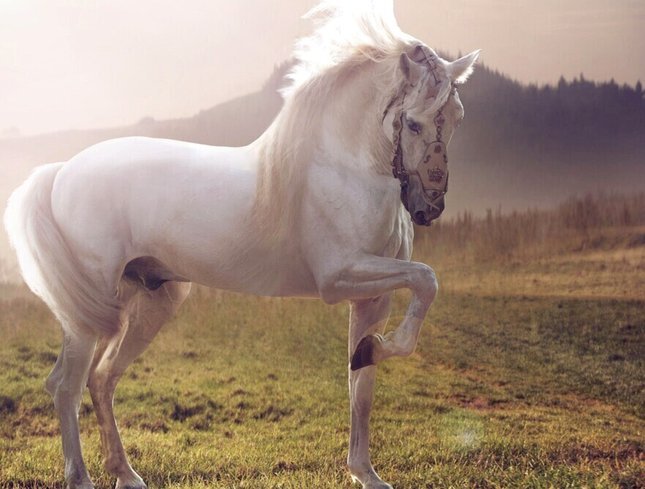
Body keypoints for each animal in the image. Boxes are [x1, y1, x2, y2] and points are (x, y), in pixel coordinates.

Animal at [4, 2, 479, 488]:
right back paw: (81, 476)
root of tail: (61, 171)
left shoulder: (371, 297)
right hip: (89, 313)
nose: (429, 207)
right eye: (414, 123)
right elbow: (427, 280)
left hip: (152, 303)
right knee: (66, 385)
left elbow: (362, 386)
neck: (343, 166)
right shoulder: (341, 277)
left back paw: (126, 473)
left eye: (458, 117)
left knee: (101, 379)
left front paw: (365, 470)